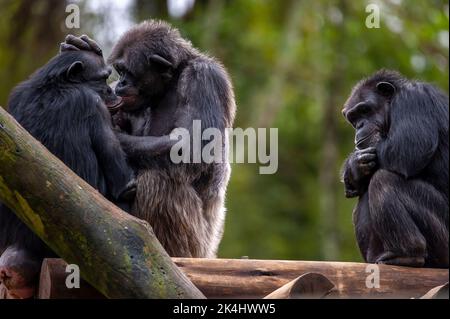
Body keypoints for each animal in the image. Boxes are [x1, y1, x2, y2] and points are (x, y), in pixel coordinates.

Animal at [65, 21, 237, 258]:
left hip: (194, 246)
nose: (121, 83)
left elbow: (192, 147)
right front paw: (78, 47)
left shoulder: (204, 78)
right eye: (120, 71)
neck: (171, 81)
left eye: (127, 71)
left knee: (157, 181)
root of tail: (209, 253)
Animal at [342, 70, 448, 270]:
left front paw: (350, 166)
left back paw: (408, 253)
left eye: (365, 110)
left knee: (384, 180)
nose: (359, 125)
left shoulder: (414, 100)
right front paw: (354, 168)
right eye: (354, 118)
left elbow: (407, 149)